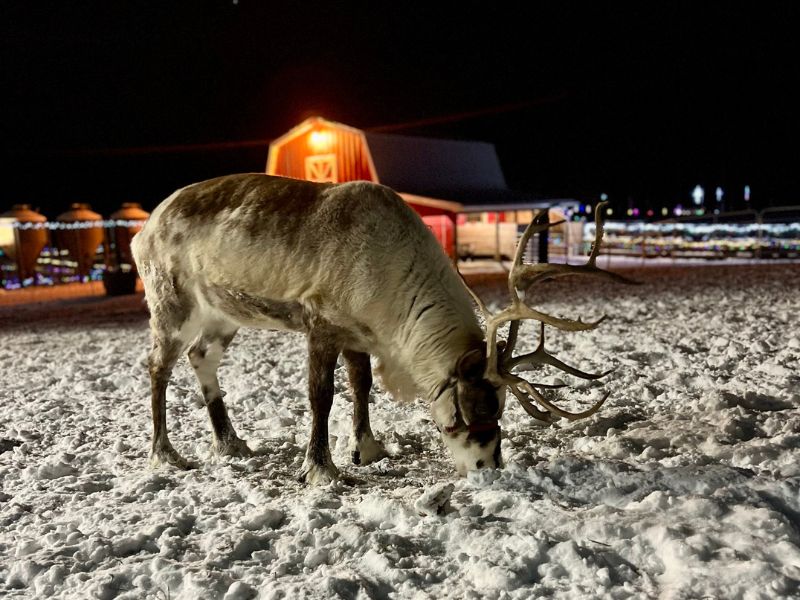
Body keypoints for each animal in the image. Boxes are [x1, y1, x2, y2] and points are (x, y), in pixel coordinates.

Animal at [131, 173, 631, 484]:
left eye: (501, 408)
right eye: (466, 409)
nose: (486, 466)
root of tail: (143, 229)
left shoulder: (360, 335)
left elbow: (362, 386)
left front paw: (368, 450)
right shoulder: (321, 324)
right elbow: (322, 397)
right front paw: (321, 470)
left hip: (223, 313)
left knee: (201, 356)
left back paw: (231, 443)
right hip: (171, 303)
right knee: (157, 365)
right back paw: (165, 453)